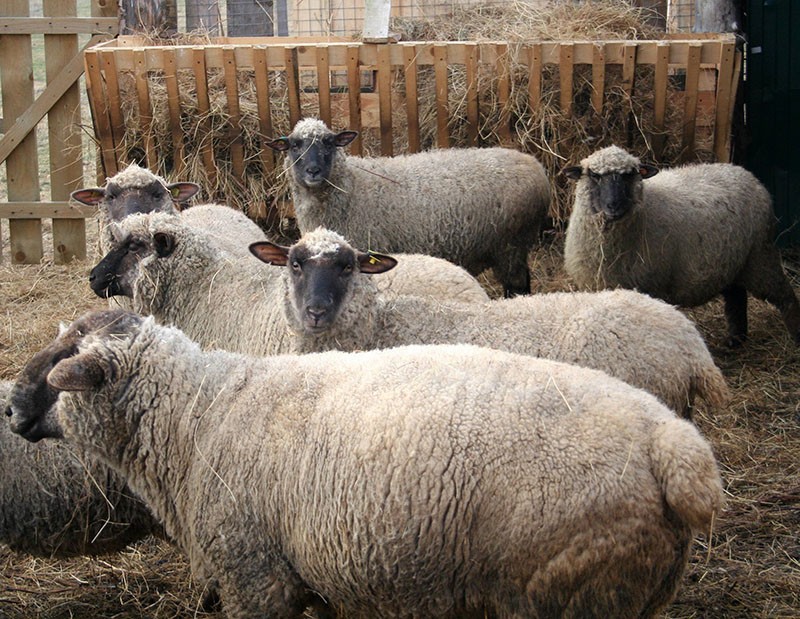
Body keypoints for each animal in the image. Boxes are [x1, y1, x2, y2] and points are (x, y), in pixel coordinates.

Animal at [25, 310, 724, 619]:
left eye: (63, 367)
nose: (10, 408)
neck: (199, 415)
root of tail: (672, 443)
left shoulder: (256, 575)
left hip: (570, 587)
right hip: (634, 590)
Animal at [266, 119, 552, 300]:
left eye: (328, 143)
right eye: (294, 145)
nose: (313, 171)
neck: (351, 187)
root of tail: (536, 166)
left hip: (511, 245)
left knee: (518, 285)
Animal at [564, 147, 800, 348]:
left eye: (629, 175)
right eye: (594, 175)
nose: (614, 206)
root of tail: (745, 173)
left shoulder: (652, 287)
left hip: (761, 255)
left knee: (785, 296)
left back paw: (794, 338)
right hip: (734, 262)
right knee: (736, 296)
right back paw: (735, 339)